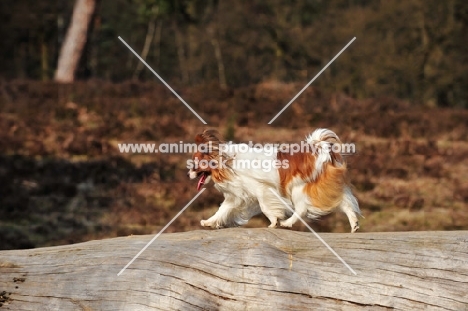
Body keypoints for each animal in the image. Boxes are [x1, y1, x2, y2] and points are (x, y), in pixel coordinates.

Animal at [186, 128, 362, 233]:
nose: (188, 174)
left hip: (299, 189)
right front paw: (209, 222)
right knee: (345, 203)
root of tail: (321, 149)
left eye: (195, 164)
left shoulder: (262, 190)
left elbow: (266, 208)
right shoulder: (236, 197)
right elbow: (222, 210)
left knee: (302, 209)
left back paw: (287, 223)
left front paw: (274, 222)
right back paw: (354, 224)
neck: (227, 162)